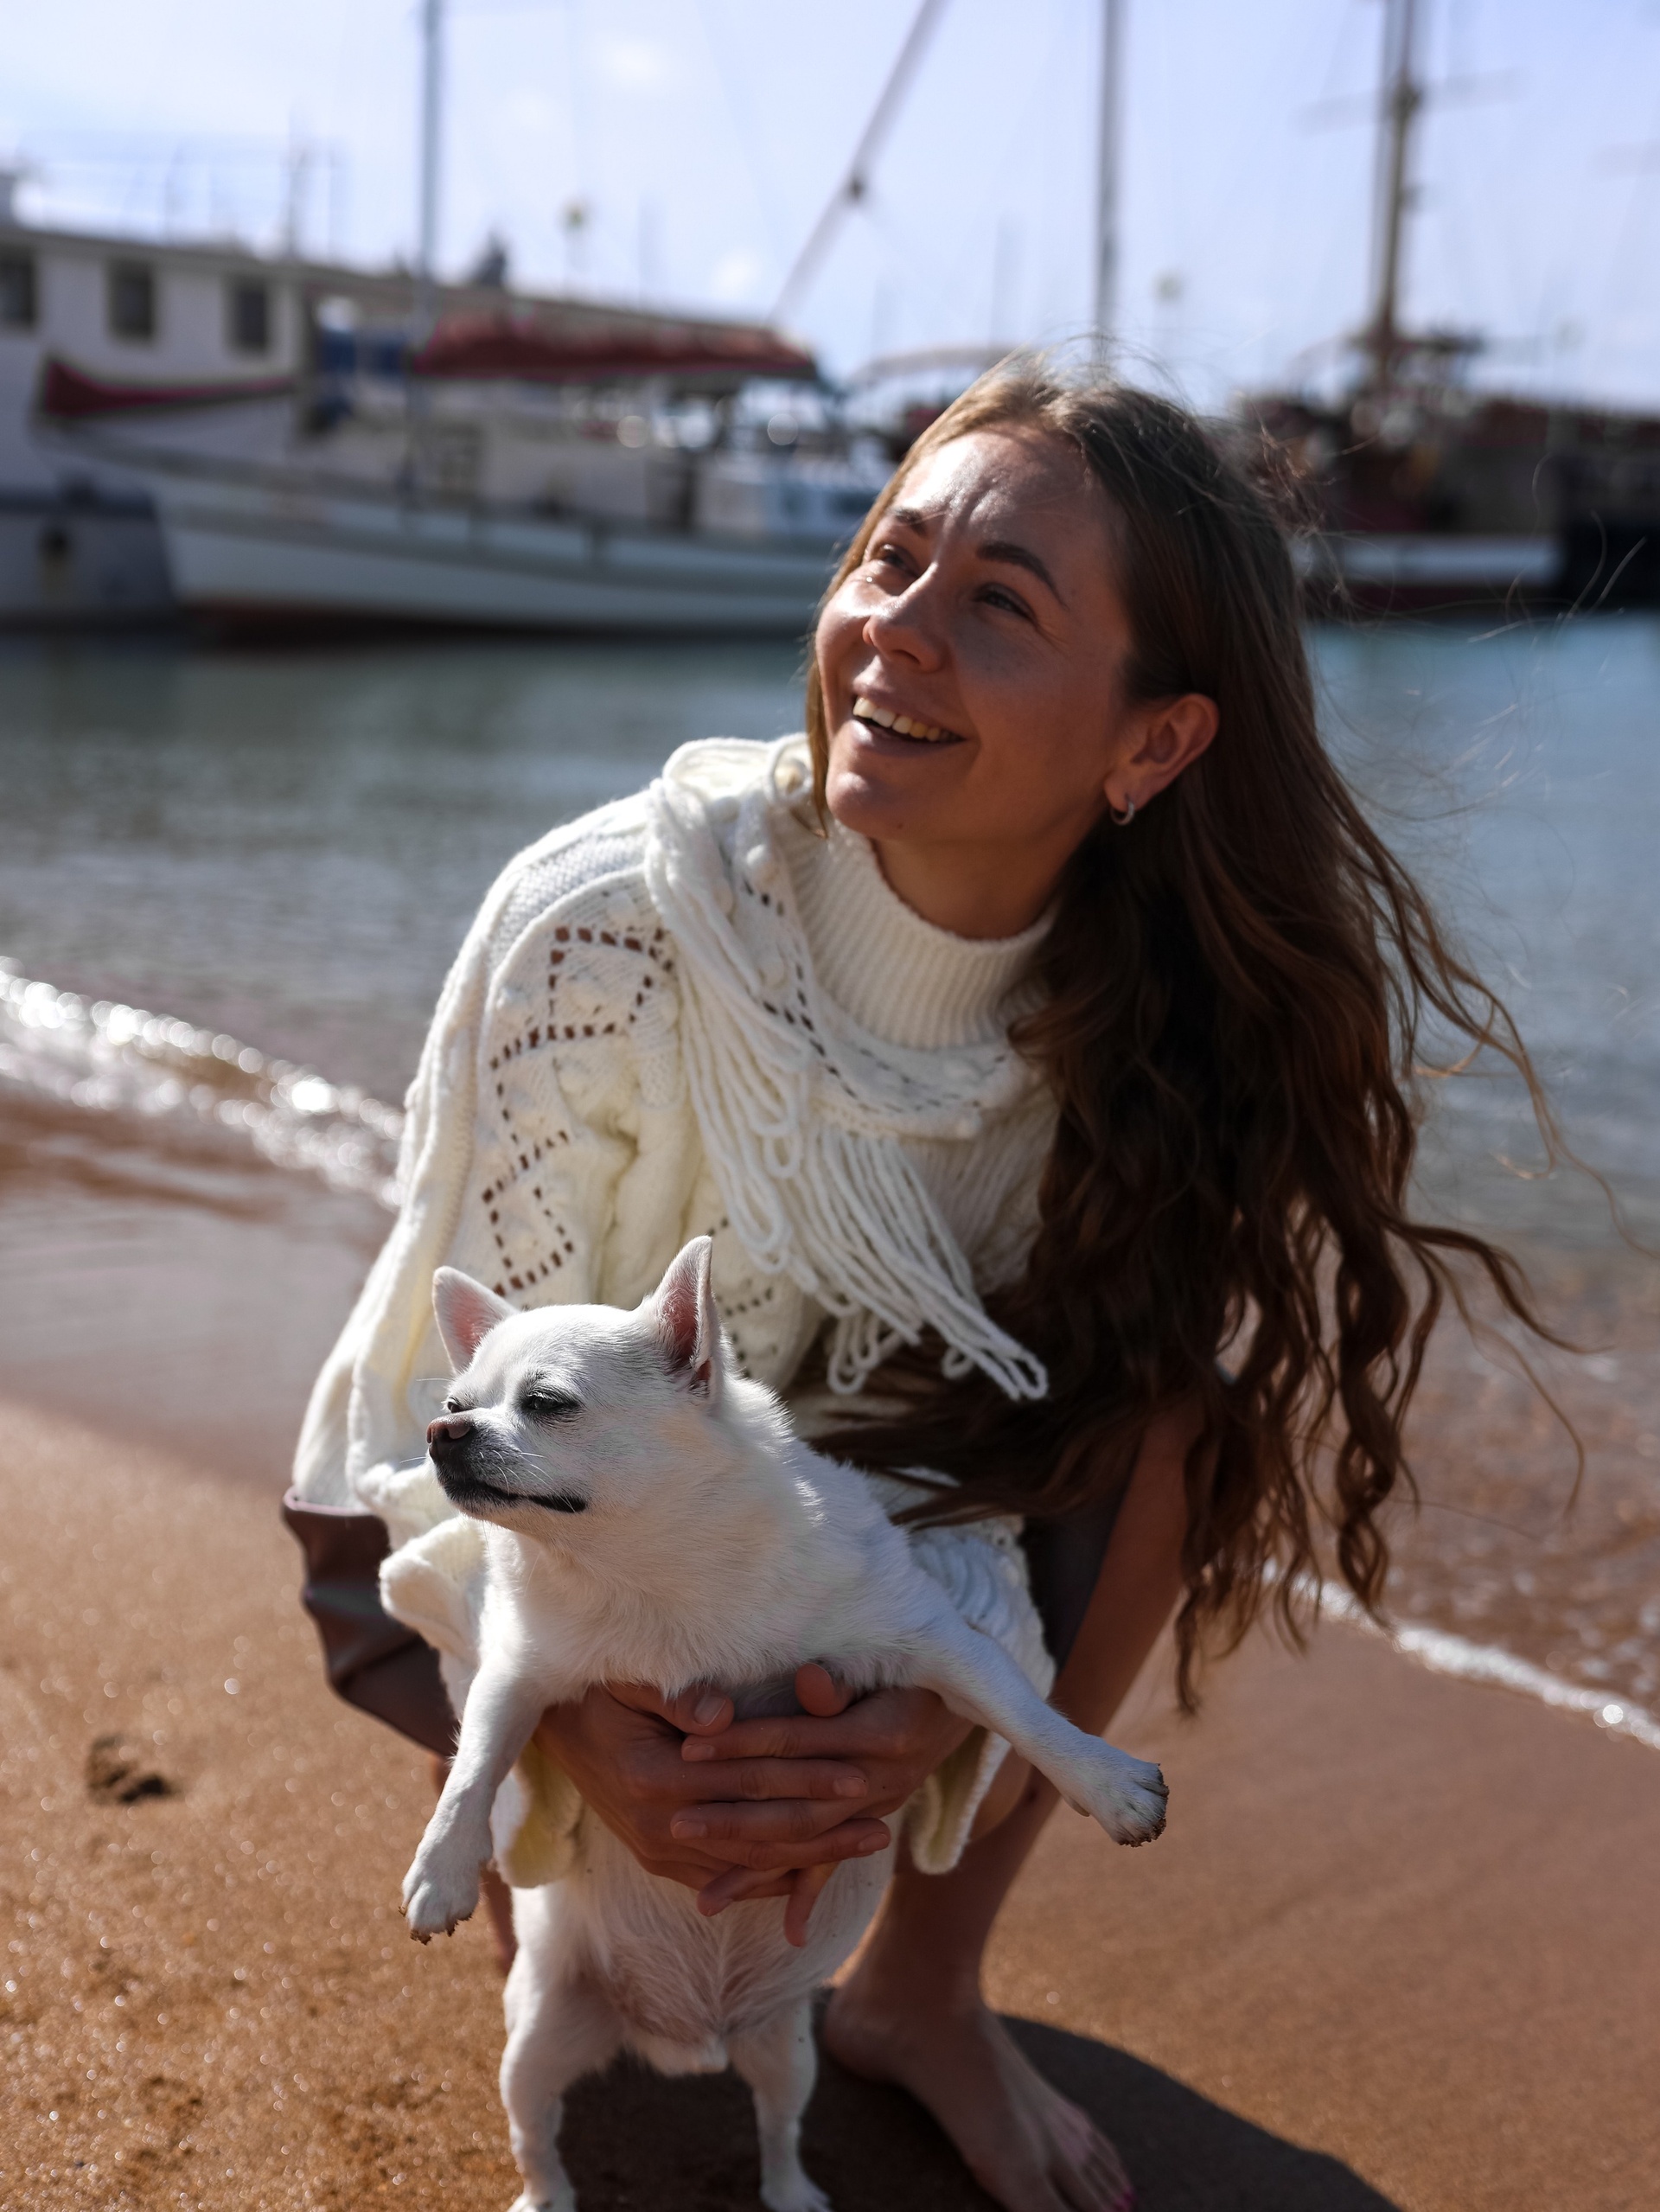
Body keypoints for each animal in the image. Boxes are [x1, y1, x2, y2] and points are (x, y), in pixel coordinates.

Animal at [397, 1235, 1168, 2212]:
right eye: (454, 1405)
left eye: (547, 1403)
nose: (442, 1435)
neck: (646, 1573)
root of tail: (688, 2037)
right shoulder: (520, 1675)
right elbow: (475, 1767)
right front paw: (442, 1871)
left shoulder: (934, 1639)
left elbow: (1023, 1710)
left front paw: (1107, 1783)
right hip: (534, 2043)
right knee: (538, 2136)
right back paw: (546, 2197)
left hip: (787, 2048)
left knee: (778, 2128)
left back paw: (794, 2191)